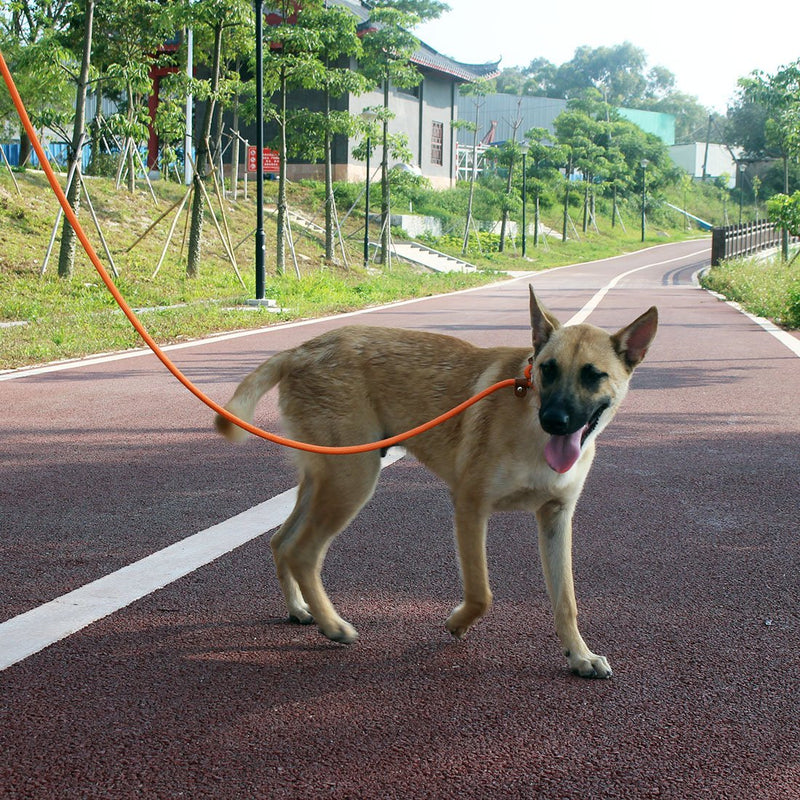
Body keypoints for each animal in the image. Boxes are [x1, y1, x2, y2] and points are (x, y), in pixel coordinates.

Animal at [216, 288, 660, 676]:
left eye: (593, 376)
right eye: (547, 369)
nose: (554, 420)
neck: (531, 429)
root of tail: (302, 349)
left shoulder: (556, 518)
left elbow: (565, 599)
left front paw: (579, 655)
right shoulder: (469, 505)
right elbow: (481, 593)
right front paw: (458, 622)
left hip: (325, 477)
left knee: (281, 541)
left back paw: (299, 609)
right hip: (352, 479)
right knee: (302, 551)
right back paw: (333, 626)